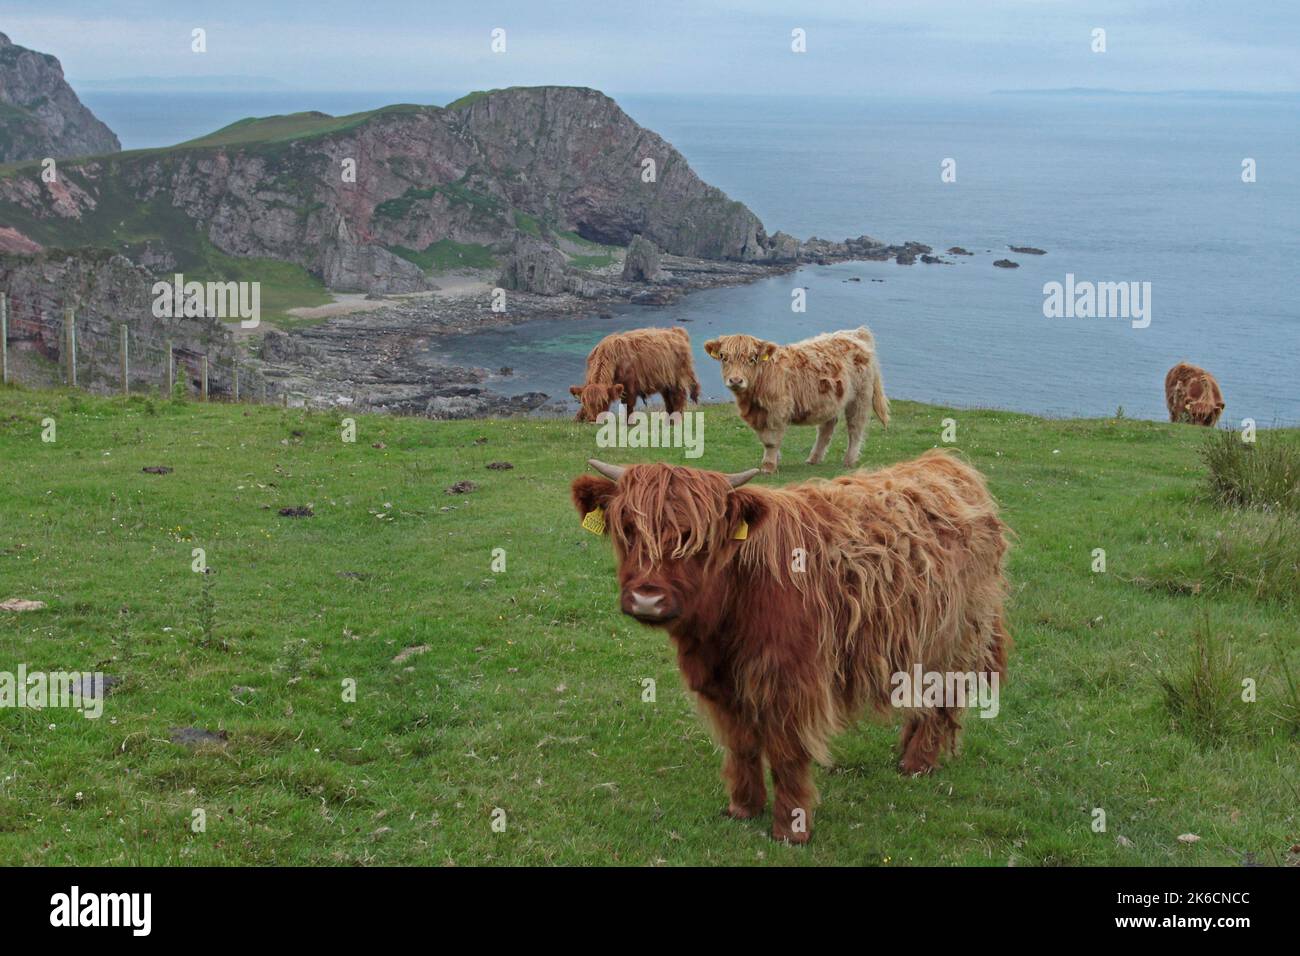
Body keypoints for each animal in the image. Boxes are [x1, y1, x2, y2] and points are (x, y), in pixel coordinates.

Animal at [569, 325, 702, 421]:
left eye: (604, 402)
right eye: (585, 402)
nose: (593, 420)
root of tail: (676, 331)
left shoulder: (629, 386)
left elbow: (628, 406)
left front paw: (629, 424)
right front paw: (578, 418)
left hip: (677, 378)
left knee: (679, 397)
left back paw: (676, 421)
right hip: (665, 383)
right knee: (668, 401)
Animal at [574, 452, 1008, 842]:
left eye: (696, 539)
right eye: (628, 529)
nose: (647, 598)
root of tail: (948, 464)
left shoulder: (792, 683)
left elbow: (786, 755)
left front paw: (791, 829)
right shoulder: (725, 685)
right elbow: (742, 746)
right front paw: (743, 808)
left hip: (956, 637)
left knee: (943, 696)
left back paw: (918, 763)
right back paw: (906, 752)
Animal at [707, 329, 889, 476]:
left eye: (752, 359)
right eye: (723, 357)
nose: (736, 380)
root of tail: (855, 333)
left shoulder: (777, 411)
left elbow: (771, 441)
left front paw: (768, 466)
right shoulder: (759, 415)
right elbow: (764, 438)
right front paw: (776, 459)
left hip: (860, 397)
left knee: (855, 427)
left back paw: (849, 461)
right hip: (830, 399)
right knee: (827, 427)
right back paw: (813, 459)